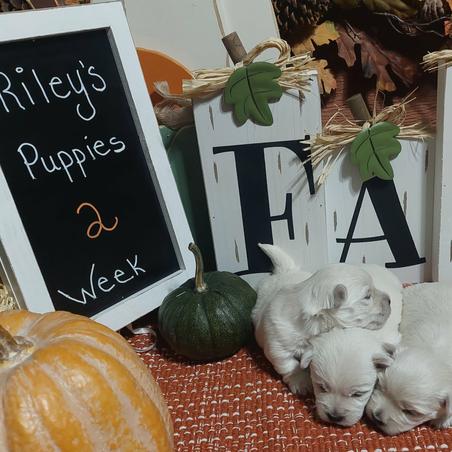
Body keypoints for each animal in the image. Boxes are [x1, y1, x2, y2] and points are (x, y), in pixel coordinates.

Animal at [252, 244, 393, 396]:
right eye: (367, 296)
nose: (389, 300)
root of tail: (284, 271)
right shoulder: (277, 344)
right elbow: (288, 364)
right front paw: (301, 382)